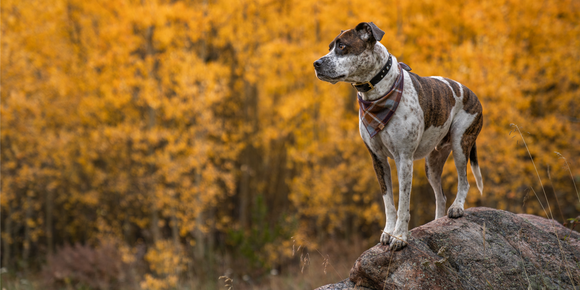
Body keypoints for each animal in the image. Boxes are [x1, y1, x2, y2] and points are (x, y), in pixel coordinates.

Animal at [312, 21, 484, 250]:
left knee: (464, 181)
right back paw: (438, 221)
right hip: (433, 163)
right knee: (440, 195)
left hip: (460, 144)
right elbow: (388, 201)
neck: (377, 93)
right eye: (330, 46)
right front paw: (388, 232)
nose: (316, 63)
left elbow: (403, 202)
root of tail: (471, 92)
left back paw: (457, 208)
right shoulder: (378, 160)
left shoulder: (404, 159)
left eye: (342, 46)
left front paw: (400, 236)